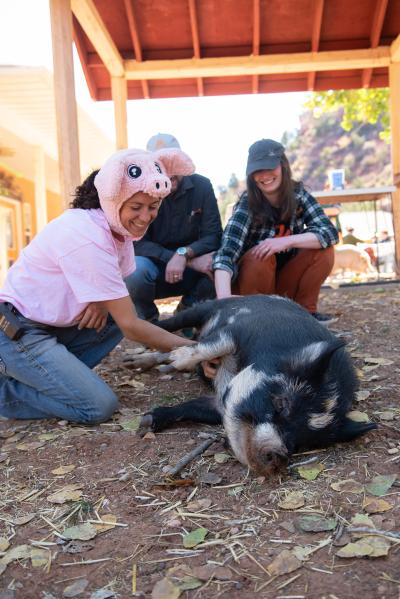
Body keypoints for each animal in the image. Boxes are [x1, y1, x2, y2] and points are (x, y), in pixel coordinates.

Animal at [134, 296, 376, 478]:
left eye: (302, 443)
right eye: (281, 403)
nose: (279, 455)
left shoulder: (218, 405)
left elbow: (192, 408)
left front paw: (147, 422)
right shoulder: (238, 331)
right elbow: (211, 346)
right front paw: (175, 360)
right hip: (208, 307)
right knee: (173, 325)